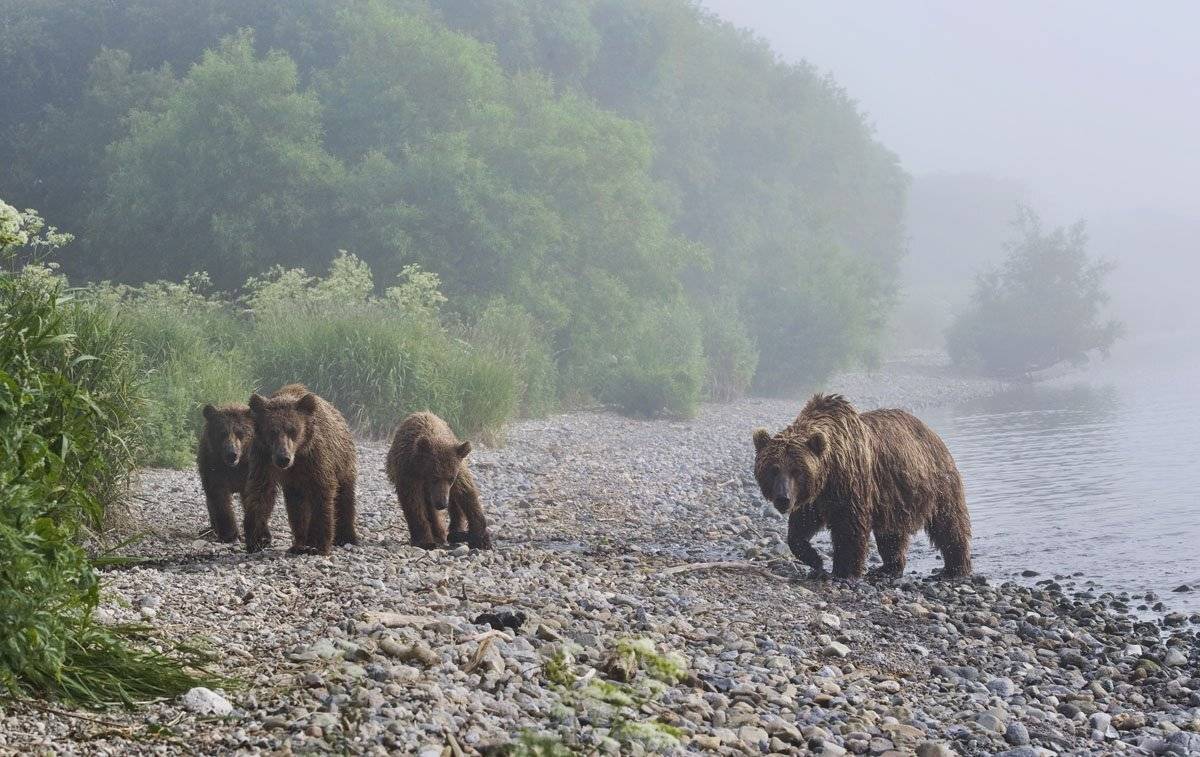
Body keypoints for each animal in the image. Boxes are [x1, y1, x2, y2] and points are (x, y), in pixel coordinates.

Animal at [197, 403, 254, 542]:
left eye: (240, 433)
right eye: (222, 433)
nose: (231, 454)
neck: (235, 467)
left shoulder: (248, 470)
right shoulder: (214, 466)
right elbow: (219, 498)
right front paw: (230, 534)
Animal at [242, 384, 358, 555]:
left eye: (293, 430)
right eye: (272, 431)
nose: (283, 458)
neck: (298, 454)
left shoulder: (316, 459)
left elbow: (322, 495)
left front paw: (320, 544)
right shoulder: (264, 458)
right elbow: (260, 493)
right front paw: (256, 539)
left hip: (343, 461)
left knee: (345, 496)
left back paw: (346, 537)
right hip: (296, 483)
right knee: (297, 506)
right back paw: (300, 543)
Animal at [385, 411, 492, 550]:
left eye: (451, 478)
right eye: (434, 477)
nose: (442, 503)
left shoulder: (458, 471)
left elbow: (467, 494)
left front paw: (481, 539)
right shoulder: (409, 473)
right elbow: (414, 504)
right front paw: (424, 541)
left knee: (453, 503)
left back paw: (453, 532)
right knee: (429, 507)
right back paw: (439, 533)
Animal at [752, 393, 972, 579]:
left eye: (796, 471)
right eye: (773, 469)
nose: (783, 499)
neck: (829, 472)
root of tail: (931, 432)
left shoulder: (850, 486)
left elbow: (850, 528)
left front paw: (844, 570)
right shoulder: (813, 497)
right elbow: (799, 528)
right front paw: (815, 559)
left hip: (936, 482)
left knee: (948, 523)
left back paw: (954, 568)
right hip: (894, 497)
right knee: (891, 534)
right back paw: (888, 567)